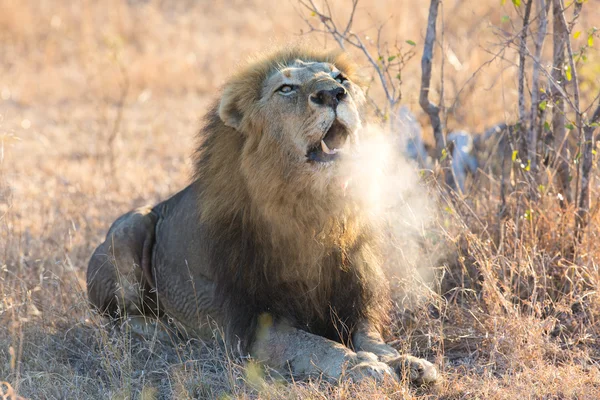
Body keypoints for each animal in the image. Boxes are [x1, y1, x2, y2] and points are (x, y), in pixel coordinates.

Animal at [86, 47, 438, 384]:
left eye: (341, 78)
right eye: (286, 88)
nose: (333, 93)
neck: (316, 210)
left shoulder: (355, 304)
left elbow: (373, 339)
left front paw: (407, 361)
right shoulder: (256, 325)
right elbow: (321, 347)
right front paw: (364, 366)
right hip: (130, 227)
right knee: (116, 321)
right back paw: (165, 330)